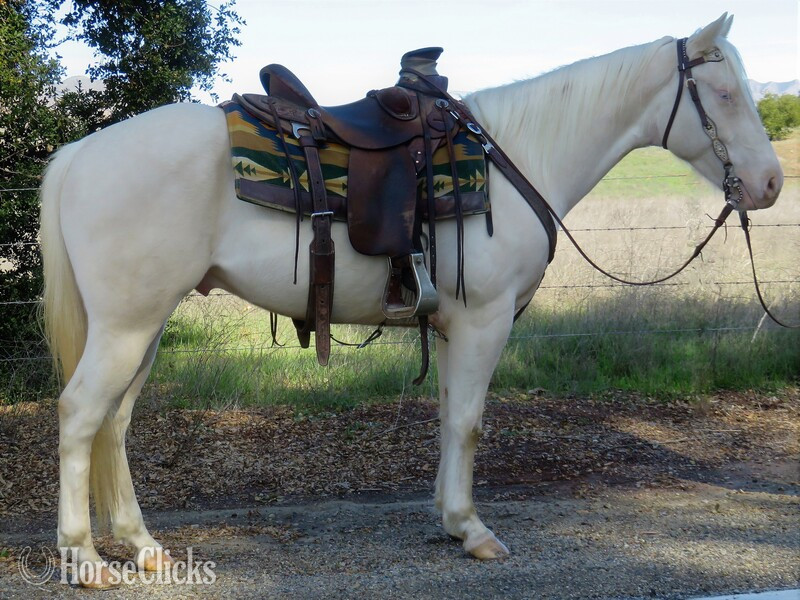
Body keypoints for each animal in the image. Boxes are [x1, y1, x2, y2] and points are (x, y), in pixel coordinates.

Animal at [40, 13, 782, 587]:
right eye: (722, 93)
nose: (771, 183)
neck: (517, 159)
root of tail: (78, 154)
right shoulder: (485, 320)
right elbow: (470, 423)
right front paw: (473, 530)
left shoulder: (456, 325)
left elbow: (451, 416)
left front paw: (450, 520)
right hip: (127, 326)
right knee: (80, 416)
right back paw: (84, 559)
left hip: (144, 325)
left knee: (114, 423)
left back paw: (144, 548)